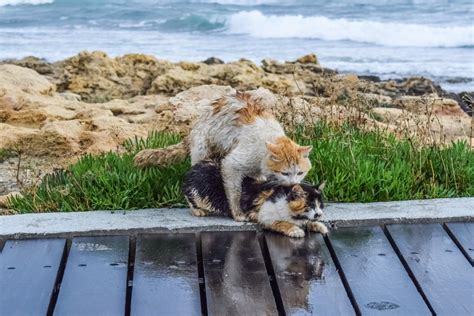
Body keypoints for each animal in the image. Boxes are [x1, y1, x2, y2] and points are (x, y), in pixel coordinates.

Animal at [134, 92, 312, 222]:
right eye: (285, 173)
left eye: (300, 173)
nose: (294, 184)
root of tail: (194, 127)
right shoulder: (232, 164)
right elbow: (234, 193)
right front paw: (238, 213)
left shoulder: (256, 172)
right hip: (202, 154)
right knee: (192, 180)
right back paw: (196, 209)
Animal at [183, 160, 328, 237]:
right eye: (309, 205)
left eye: (320, 205)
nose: (319, 214)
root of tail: (194, 167)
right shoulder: (265, 216)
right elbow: (281, 223)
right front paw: (295, 230)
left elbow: (308, 221)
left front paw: (319, 226)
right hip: (201, 194)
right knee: (189, 197)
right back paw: (198, 211)